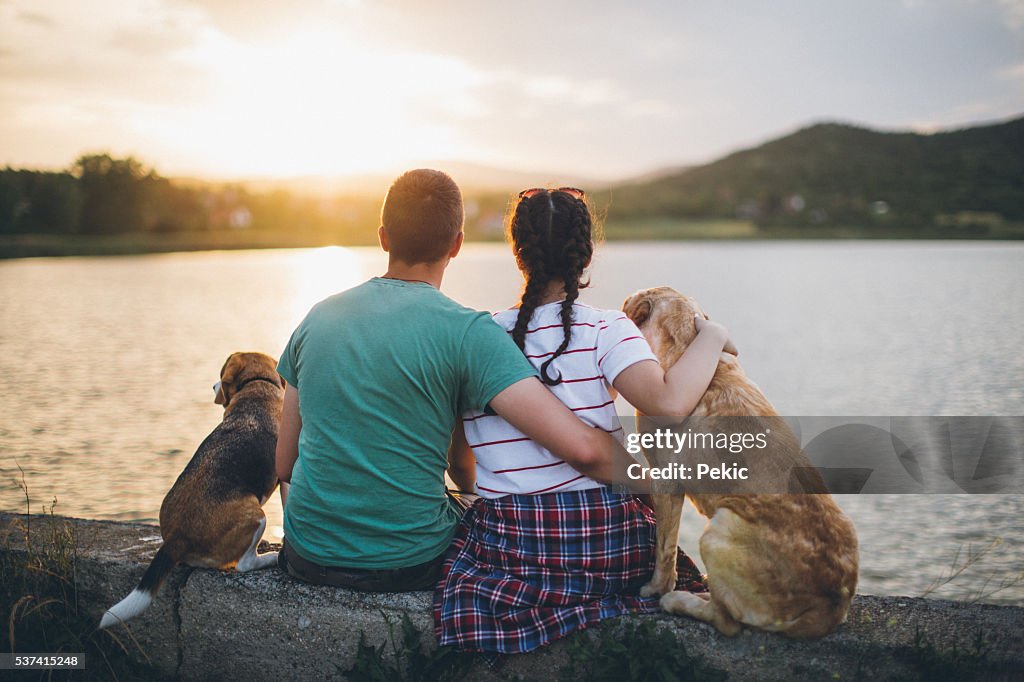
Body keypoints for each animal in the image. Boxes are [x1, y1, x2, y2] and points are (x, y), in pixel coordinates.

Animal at [100, 350, 284, 626]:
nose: (213, 386)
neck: (257, 384)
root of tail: (175, 538)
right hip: (255, 513)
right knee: (244, 564)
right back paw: (270, 557)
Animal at [622, 288, 856, 638]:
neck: (686, 343)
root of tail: (828, 607)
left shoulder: (664, 482)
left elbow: (664, 548)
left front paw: (655, 588)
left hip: (716, 531)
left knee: (726, 621)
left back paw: (680, 600)